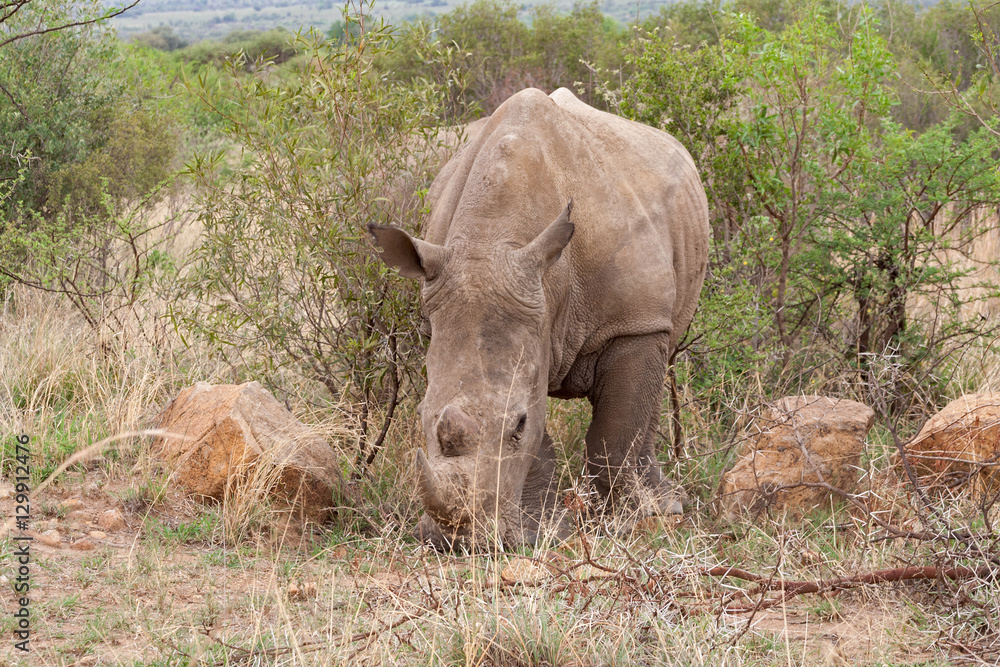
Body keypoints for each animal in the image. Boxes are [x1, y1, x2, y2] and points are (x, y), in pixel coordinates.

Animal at [370, 88, 709, 549]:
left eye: (518, 423)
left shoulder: (635, 321)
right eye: (422, 415)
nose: (460, 543)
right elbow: (537, 437)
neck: (492, 242)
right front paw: (542, 531)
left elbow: (616, 430)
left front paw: (645, 519)